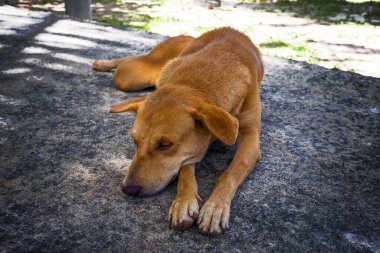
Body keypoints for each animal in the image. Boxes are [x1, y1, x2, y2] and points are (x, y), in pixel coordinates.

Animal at [93, 27, 264, 235]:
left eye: (165, 144)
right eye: (134, 140)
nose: (128, 189)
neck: (195, 82)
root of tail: (185, 36)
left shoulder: (251, 137)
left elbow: (231, 172)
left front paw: (215, 206)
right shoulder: (189, 151)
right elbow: (185, 169)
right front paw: (183, 202)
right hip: (130, 77)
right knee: (131, 60)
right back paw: (104, 63)